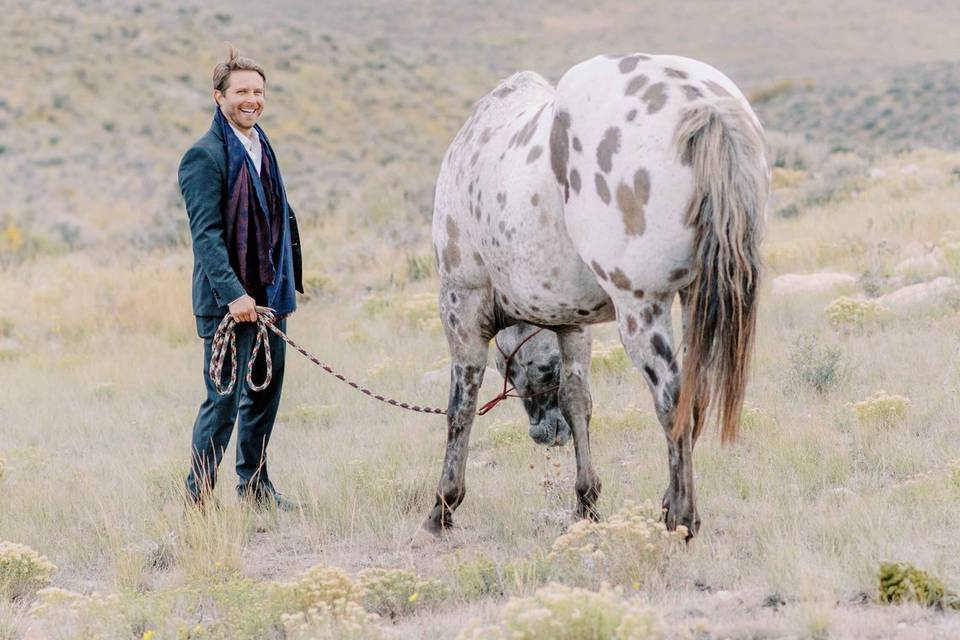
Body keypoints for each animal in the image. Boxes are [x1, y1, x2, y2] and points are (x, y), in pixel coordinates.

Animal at [421, 53, 768, 539]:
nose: (547, 435)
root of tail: (703, 104)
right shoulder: (572, 325)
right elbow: (578, 401)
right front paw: (586, 500)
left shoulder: (462, 309)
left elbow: (460, 410)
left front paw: (444, 506)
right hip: (697, 298)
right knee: (694, 399)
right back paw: (669, 504)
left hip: (641, 310)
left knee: (672, 401)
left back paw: (681, 519)